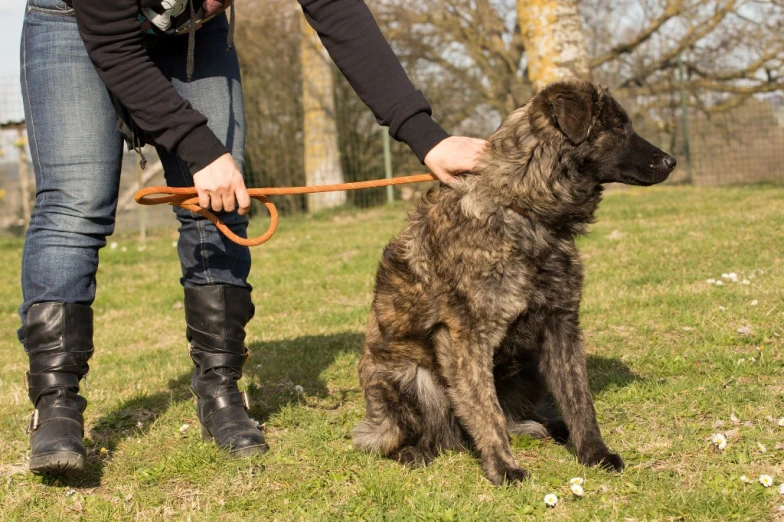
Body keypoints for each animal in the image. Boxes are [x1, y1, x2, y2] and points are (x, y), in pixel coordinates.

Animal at [352, 79, 676, 482]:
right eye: (618, 127)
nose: (672, 161)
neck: (523, 209)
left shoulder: (561, 326)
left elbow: (579, 399)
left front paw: (594, 452)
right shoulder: (468, 339)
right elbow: (485, 410)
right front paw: (503, 467)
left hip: (528, 368)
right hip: (413, 378)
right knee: (418, 436)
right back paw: (417, 451)